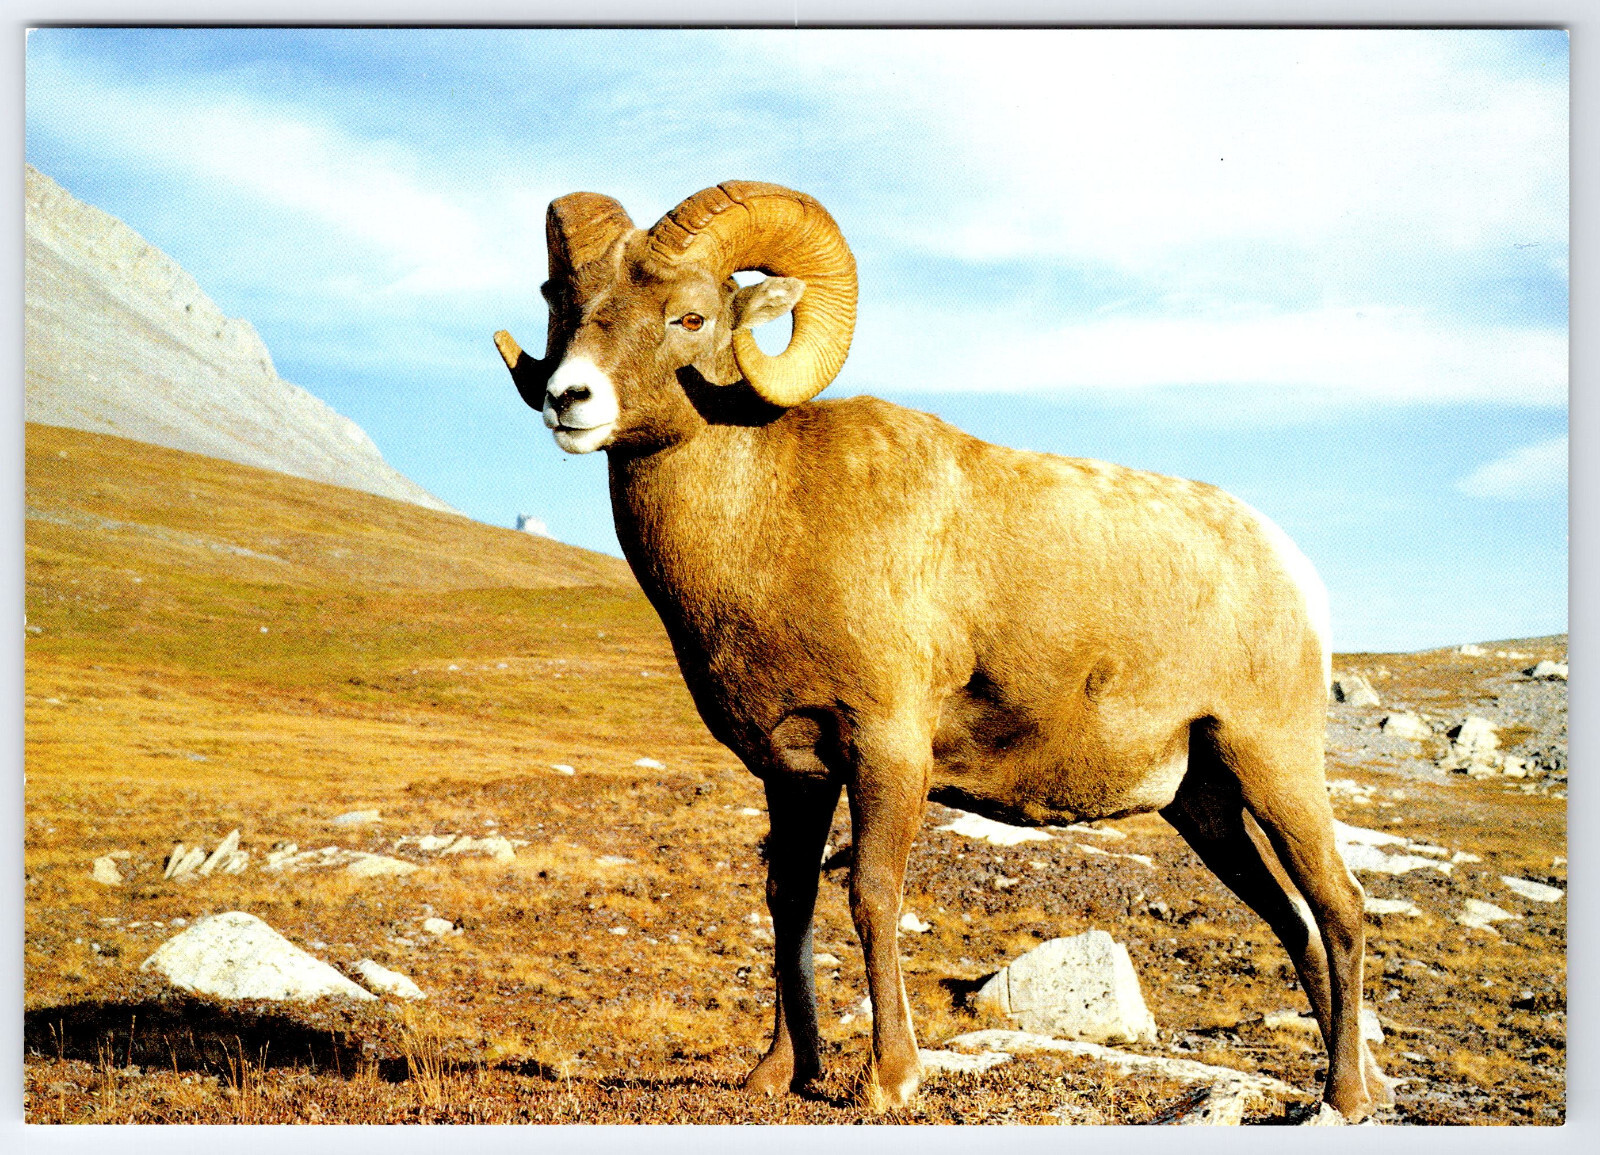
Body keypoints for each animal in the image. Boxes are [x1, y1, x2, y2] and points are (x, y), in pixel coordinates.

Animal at [492, 181, 1391, 1120]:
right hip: (1205, 804)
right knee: (1294, 919)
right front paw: (779, 1072)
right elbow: (788, 899)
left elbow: (870, 895)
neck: (768, 520)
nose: (570, 399)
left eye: (691, 316)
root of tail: (1290, 565)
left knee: (1340, 904)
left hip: (1273, 761)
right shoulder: (794, 771)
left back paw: (1344, 1097)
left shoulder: (888, 750)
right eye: (564, 303)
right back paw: (1350, 1086)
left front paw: (890, 1077)